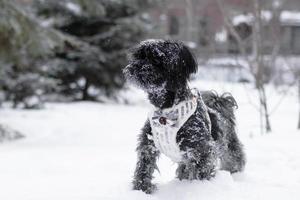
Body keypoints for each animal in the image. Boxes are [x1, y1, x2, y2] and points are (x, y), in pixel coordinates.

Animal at [123, 39, 245, 194]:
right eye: (138, 56)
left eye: (155, 58)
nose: (133, 67)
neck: (166, 109)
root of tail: (218, 104)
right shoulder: (148, 145)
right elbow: (143, 168)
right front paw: (141, 189)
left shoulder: (201, 151)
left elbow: (201, 174)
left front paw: (196, 189)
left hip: (228, 150)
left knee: (235, 160)